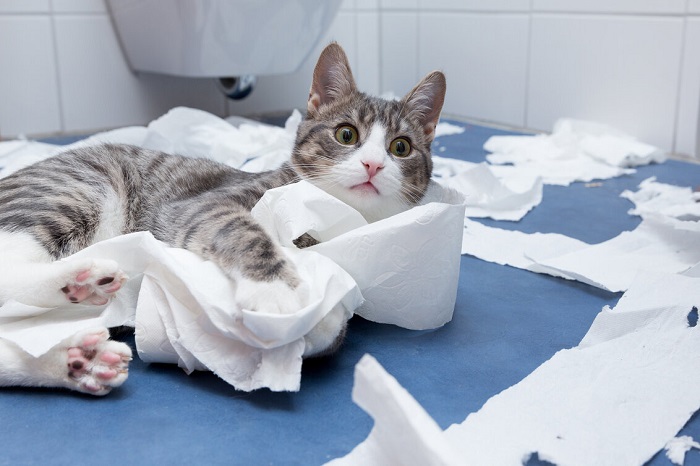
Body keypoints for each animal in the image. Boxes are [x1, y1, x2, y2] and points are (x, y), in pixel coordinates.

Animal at [0, 42, 448, 394]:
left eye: (401, 147)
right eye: (346, 135)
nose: (373, 165)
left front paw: (324, 321)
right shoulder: (200, 205)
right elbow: (242, 230)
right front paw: (278, 291)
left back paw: (78, 356)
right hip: (77, 189)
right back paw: (83, 277)